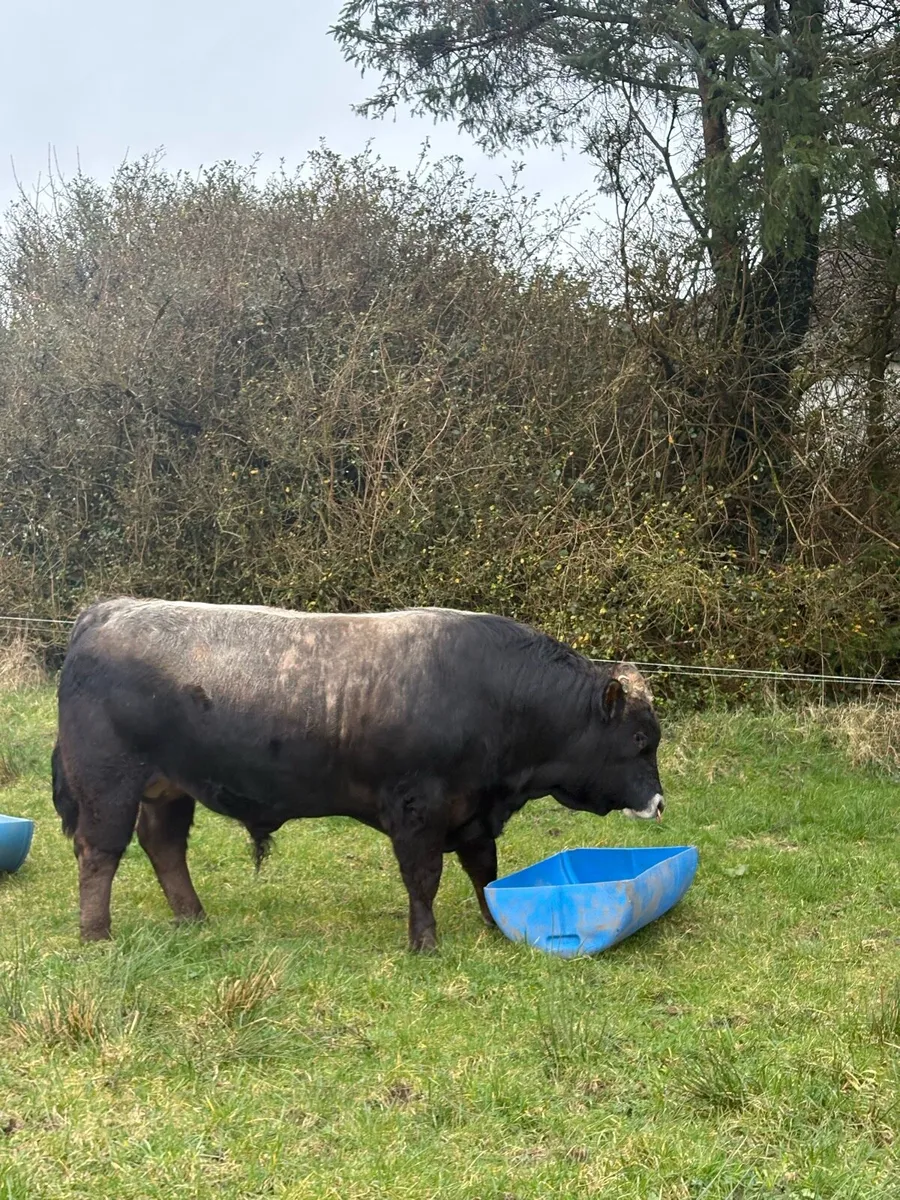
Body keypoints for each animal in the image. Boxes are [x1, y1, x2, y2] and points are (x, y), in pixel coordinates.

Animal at [52, 598, 665, 950]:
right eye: (639, 741)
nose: (659, 803)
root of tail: (107, 610)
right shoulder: (418, 809)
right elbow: (424, 878)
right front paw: (425, 942)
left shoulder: (472, 812)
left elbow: (483, 870)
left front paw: (494, 924)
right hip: (108, 782)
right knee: (99, 851)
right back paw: (97, 934)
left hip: (167, 788)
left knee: (163, 846)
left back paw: (193, 918)